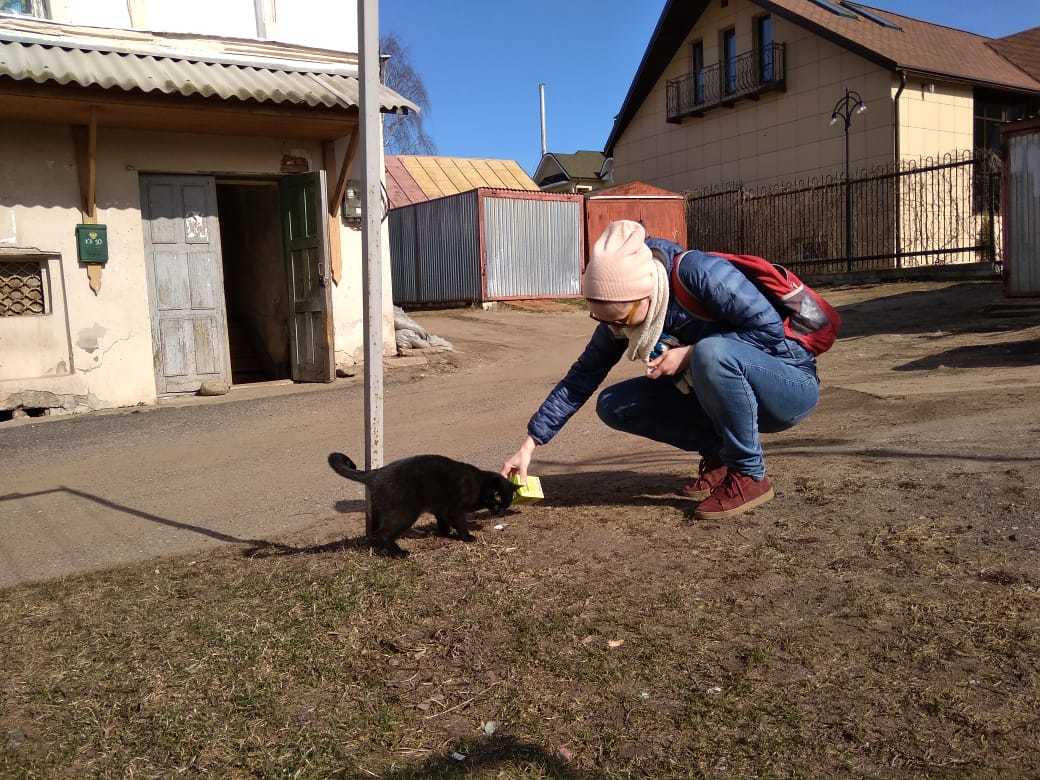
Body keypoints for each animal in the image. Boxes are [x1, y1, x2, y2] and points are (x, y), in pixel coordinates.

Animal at [326, 455, 517, 557]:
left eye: (506, 503)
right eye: (498, 499)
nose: (500, 512)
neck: (479, 484)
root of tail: (376, 472)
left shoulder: (441, 508)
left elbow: (443, 523)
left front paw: (444, 534)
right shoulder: (454, 509)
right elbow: (460, 524)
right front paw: (467, 537)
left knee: (376, 533)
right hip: (405, 515)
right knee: (383, 534)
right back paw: (399, 554)